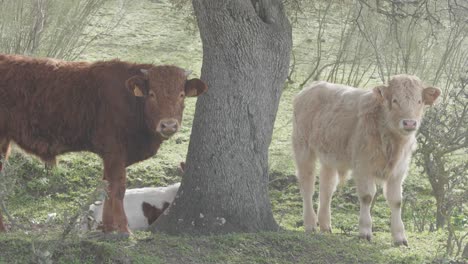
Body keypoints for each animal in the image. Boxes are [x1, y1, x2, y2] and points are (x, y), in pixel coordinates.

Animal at [0, 53, 208, 233]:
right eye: (152, 94)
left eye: (181, 94)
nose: (169, 125)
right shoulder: (114, 152)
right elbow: (118, 188)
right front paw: (123, 229)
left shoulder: (112, 157)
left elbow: (106, 187)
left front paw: (108, 228)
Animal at [294, 75, 440, 246]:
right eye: (395, 100)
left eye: (419, 101)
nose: (409, 123)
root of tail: (312, 86)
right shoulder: (363, 166)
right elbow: (367, 196)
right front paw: (365, 231)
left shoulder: (399, 171)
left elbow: (396, 201)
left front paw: (400, 237)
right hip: (303, 148)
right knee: (307, 185)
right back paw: (310, 224)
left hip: (329, 156)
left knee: (326, 187)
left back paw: (325, 225)